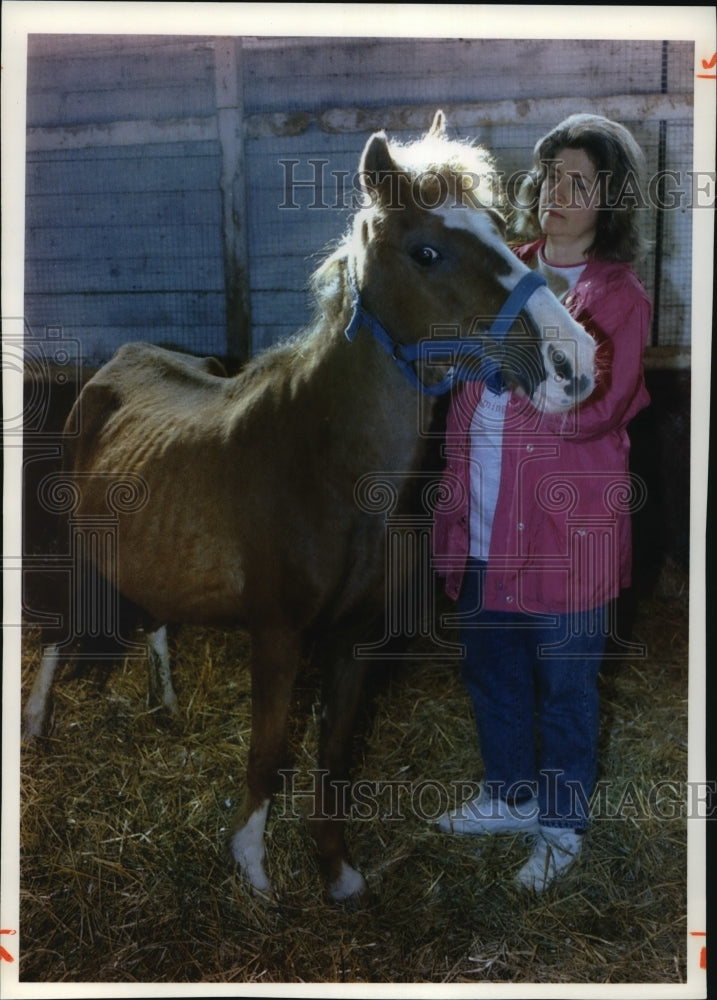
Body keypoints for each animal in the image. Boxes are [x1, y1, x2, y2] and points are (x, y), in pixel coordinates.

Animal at [22, 113, 596, 912]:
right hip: (79, 550)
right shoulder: (278, 636)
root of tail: (117, 363)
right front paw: (254, 869)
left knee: (160, 622)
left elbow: (332, 760)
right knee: (58, 628)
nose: (575, 364)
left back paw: (165, 704)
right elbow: (267, 753)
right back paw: (36, 724)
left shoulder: (353, 643)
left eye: (502, 233)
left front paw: (337, 874)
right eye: (427, 251)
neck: (329, 469)